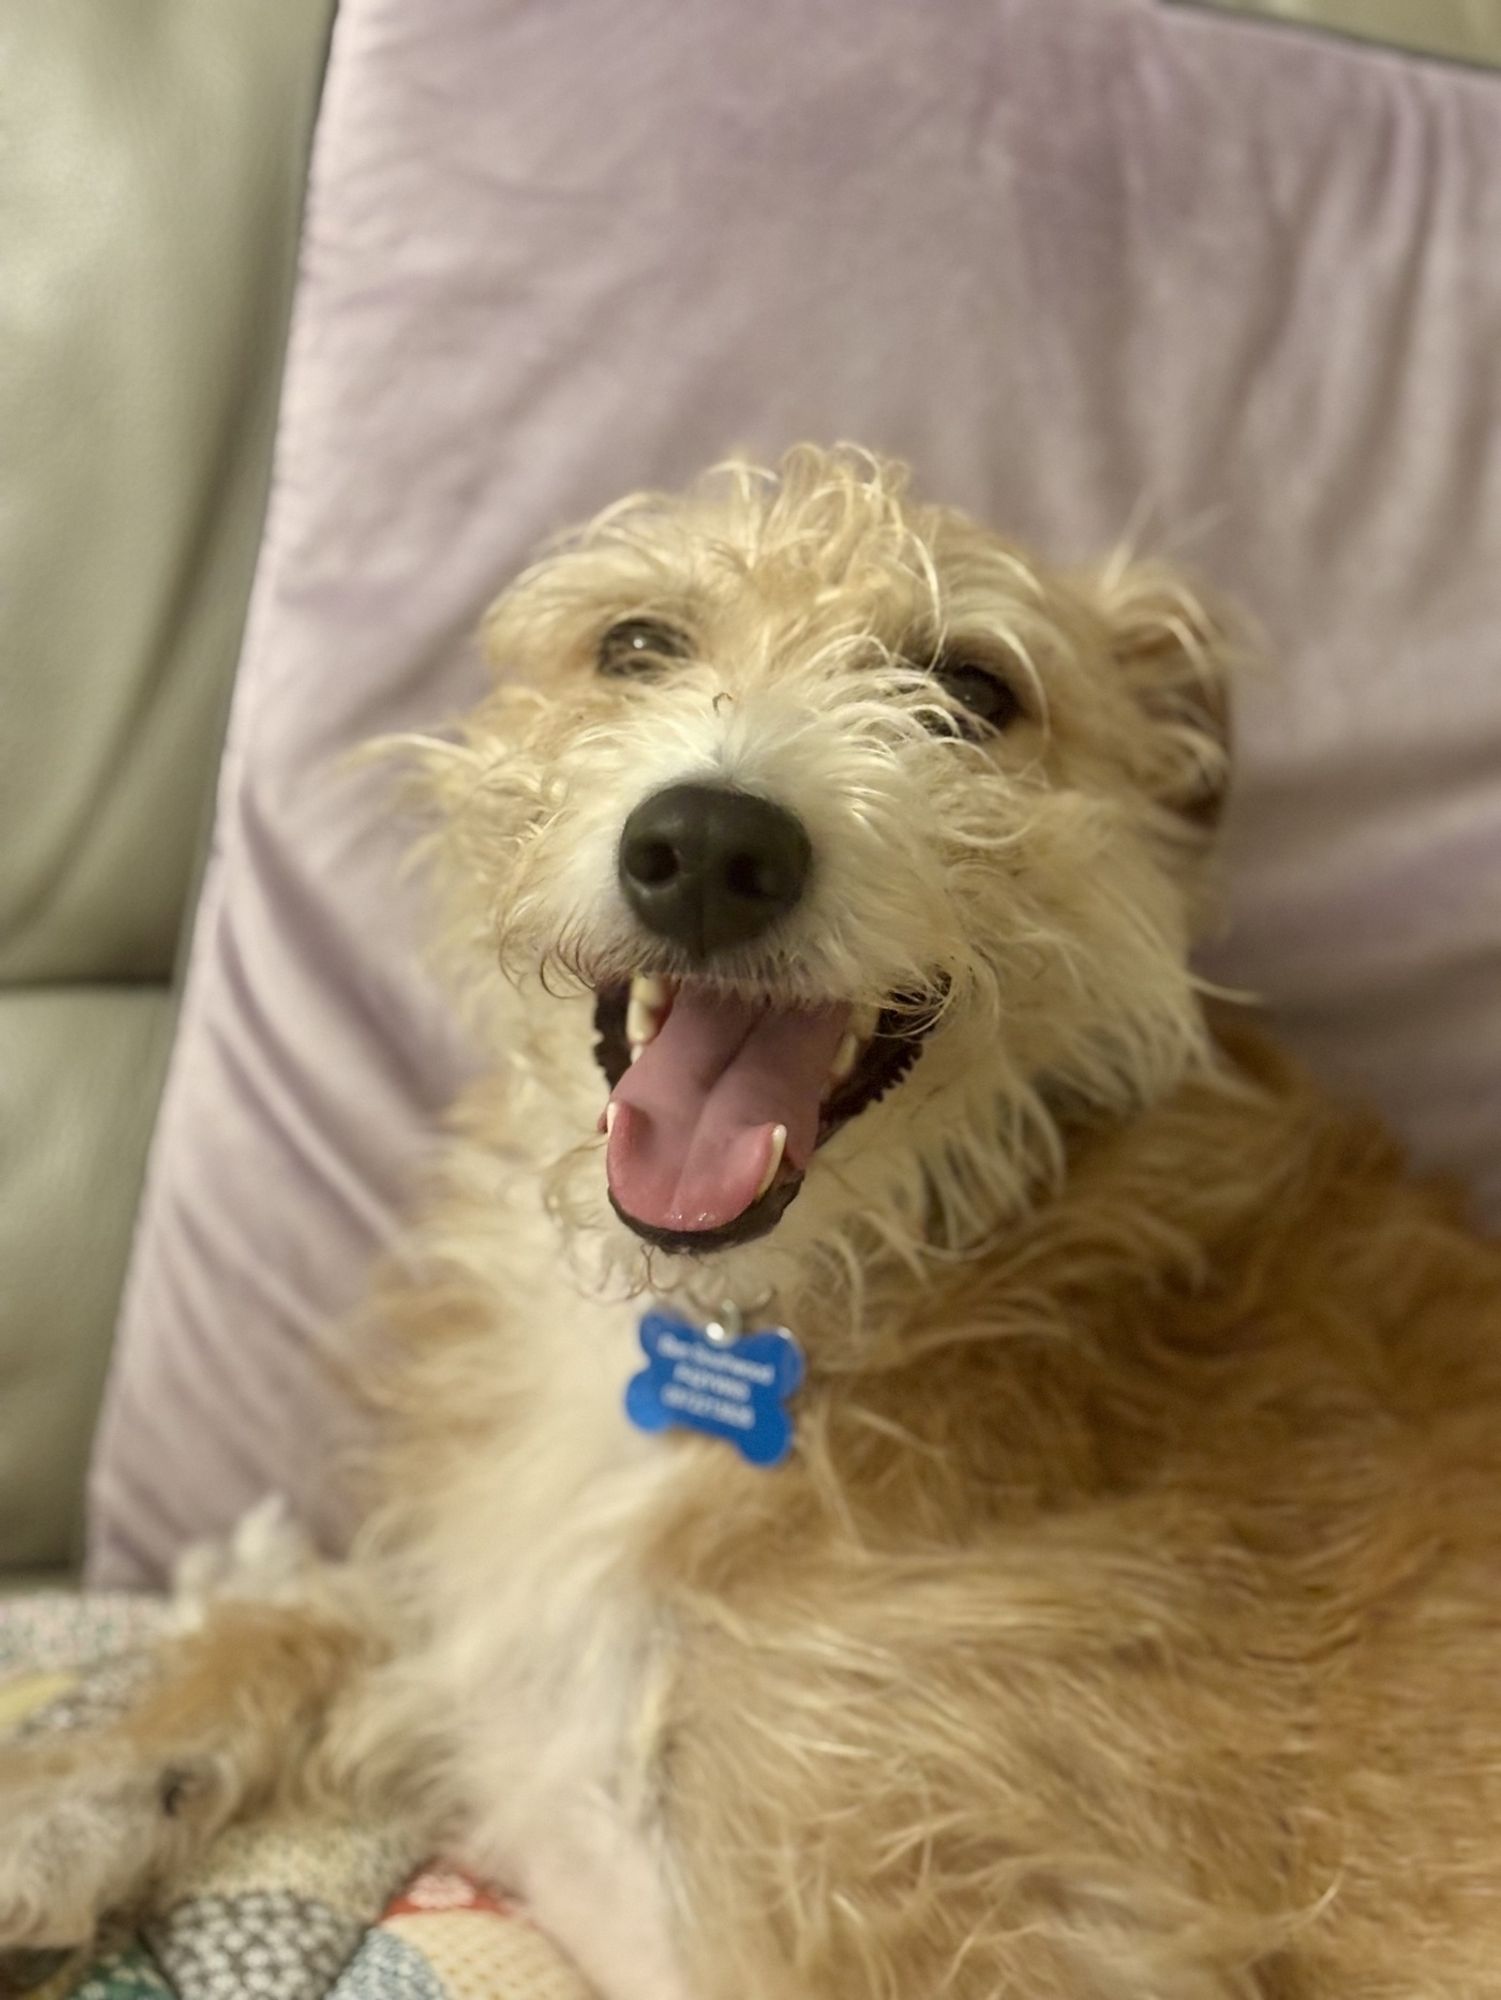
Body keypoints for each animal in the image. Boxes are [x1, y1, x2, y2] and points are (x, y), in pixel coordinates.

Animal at [2, 446, 1501, 1992]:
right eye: (634, 644)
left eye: (975, 687)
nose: (711, 844)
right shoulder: (518, 1639)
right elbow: (324, 1616)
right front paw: (68, 1797)